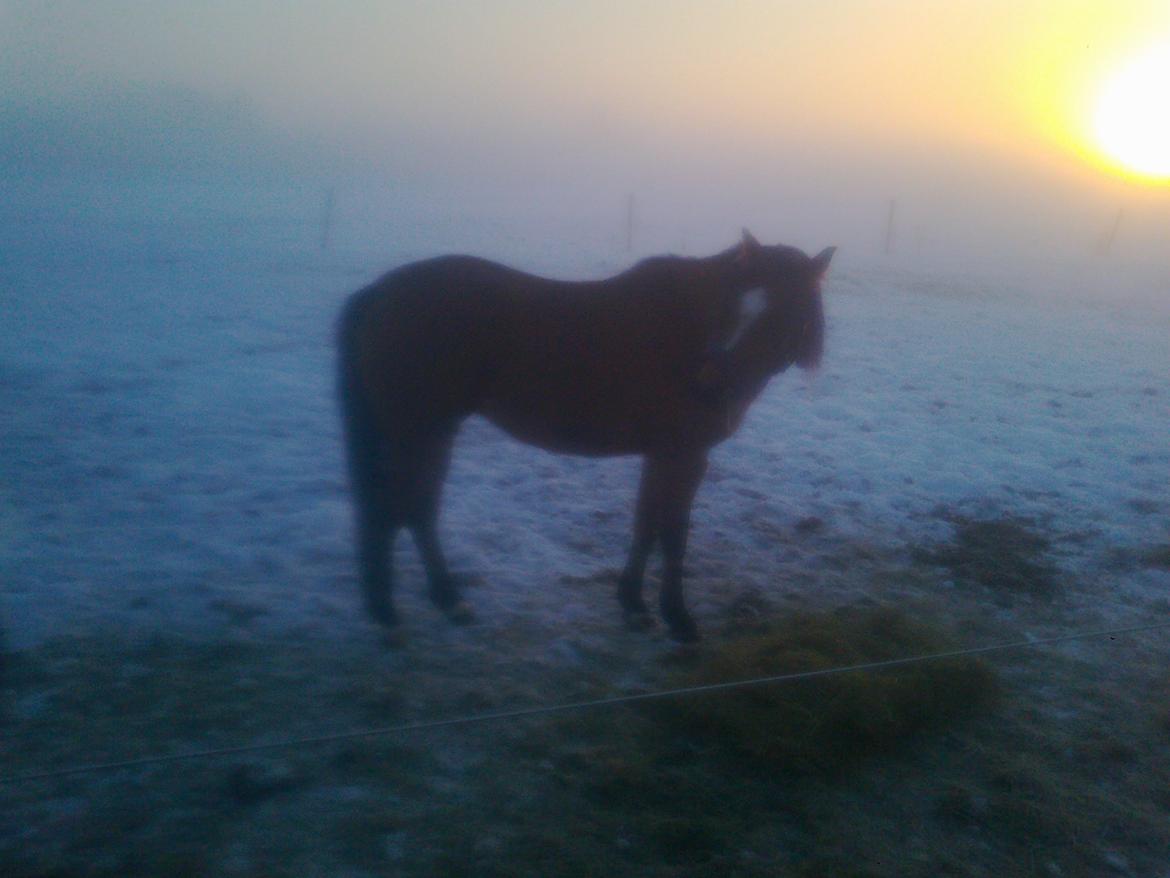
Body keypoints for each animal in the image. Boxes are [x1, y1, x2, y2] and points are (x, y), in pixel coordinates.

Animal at [337, 230, 833, 642]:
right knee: (400, 509)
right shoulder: (685, 455)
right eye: (736, 305)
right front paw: (678, 619)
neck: (688, 333)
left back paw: (442, 601)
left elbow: (646, 524)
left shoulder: (662, 455)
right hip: (418, 433)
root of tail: (381, 293)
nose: (709, 381)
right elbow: (673, 532)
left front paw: (634, 607)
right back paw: (395, 612)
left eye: (780, 312)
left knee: (415, 509)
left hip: (432, 432)